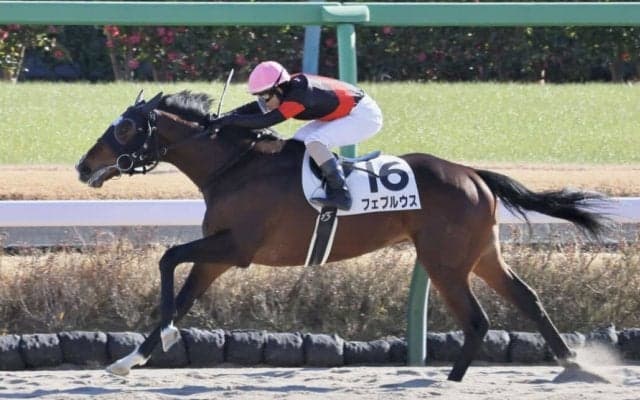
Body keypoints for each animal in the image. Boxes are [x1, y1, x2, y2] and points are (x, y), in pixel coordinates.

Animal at [76, 90, 609, 381]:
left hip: (445, 261)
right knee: (526, 297)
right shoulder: (216, 256)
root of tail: (473, 174)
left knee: (477, 319)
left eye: (125, 128)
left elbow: (168, 257)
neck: (235, 166)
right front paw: (130, 359)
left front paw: (161, 337)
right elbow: (182, 291)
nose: (83, 166)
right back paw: (574, 362)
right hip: (480, 254)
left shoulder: (236, 247)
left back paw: (454, 379)